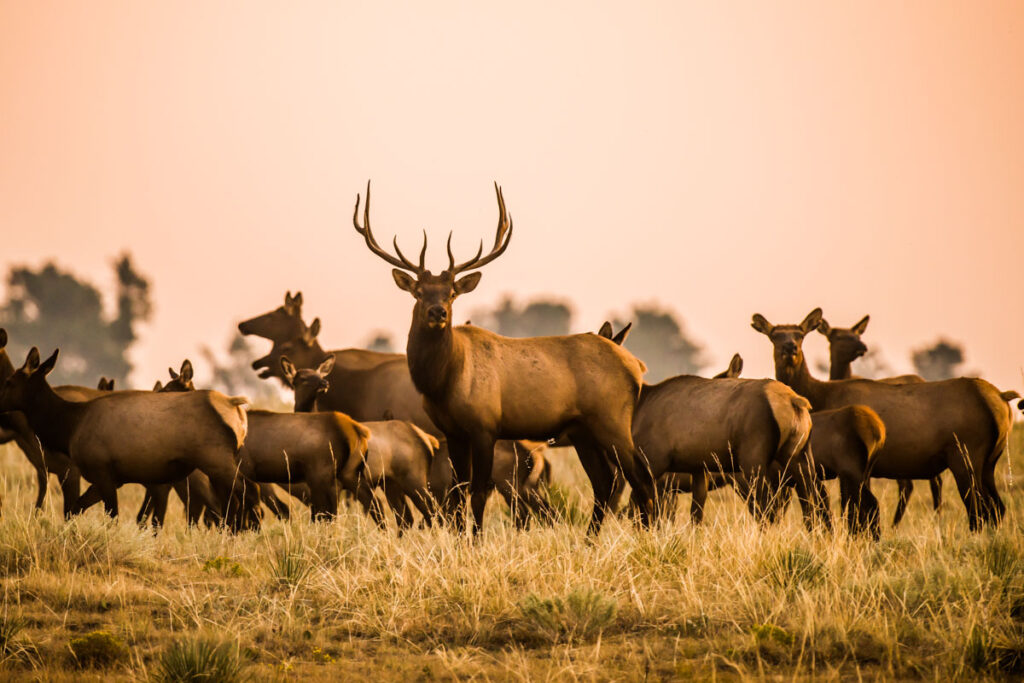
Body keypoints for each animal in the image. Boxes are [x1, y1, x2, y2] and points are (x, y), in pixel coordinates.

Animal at [0, 350, 262, 532]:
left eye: (8, 381)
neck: (69, 427)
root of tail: (236, 407)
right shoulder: (112, 478)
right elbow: (75, 510)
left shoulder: (102, 470)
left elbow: (111, 517)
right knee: (232, 499)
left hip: (215, 459)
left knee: (248, 491)